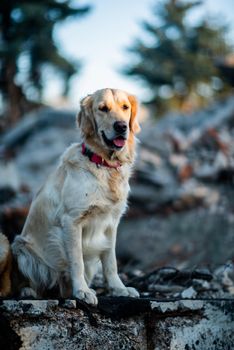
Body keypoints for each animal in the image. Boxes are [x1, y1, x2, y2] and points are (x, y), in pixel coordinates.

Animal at [11, 89, 140, 304]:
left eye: (125, 107)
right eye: (103, 108)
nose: (121, 126)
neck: (103, 164)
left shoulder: (112, 222)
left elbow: (111, 261)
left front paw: (119, 288)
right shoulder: (71, 220)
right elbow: (76, 260)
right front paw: (82, 291)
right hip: (21, 247)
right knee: (32, 282)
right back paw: (29, 291)